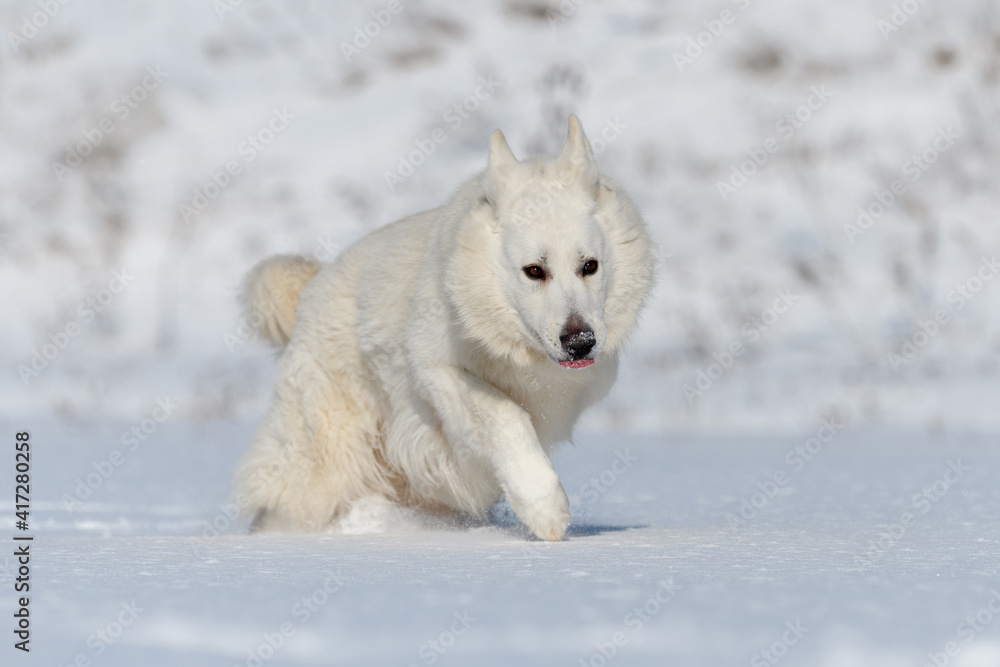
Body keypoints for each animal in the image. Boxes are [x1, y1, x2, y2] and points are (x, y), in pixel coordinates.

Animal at [234, 116, 656, 544]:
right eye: (534, 271)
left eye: (590, 266)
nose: (580, 342)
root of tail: (313, 288)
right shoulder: (436, 372)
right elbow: (507, 413)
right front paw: (545, 507)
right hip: (327, 462)